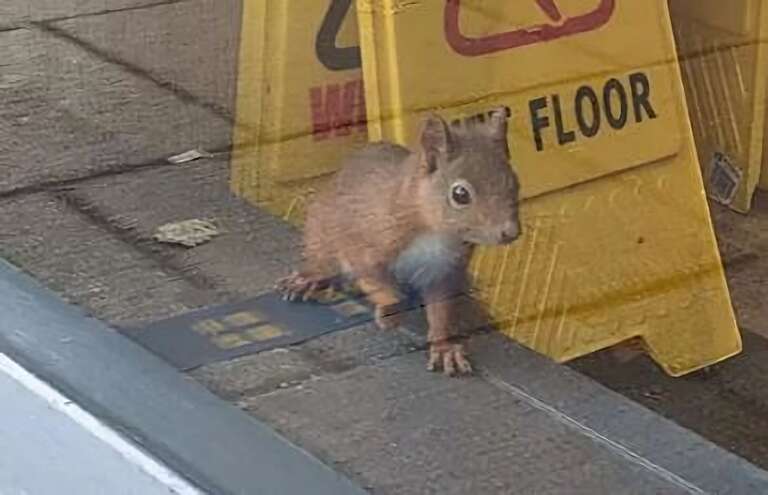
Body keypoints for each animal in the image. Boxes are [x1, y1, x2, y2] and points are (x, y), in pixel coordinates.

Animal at [276, 105, 520, 376]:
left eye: (514, 182)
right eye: (460, 194)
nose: (510, 232)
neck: (435, 231)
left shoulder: (444, 270)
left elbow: (440, 310)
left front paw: (444, 347)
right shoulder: (368, 241)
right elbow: (374, 280)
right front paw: (392, 313)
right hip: (320, 232)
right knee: (323, 261)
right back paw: (309, 280)